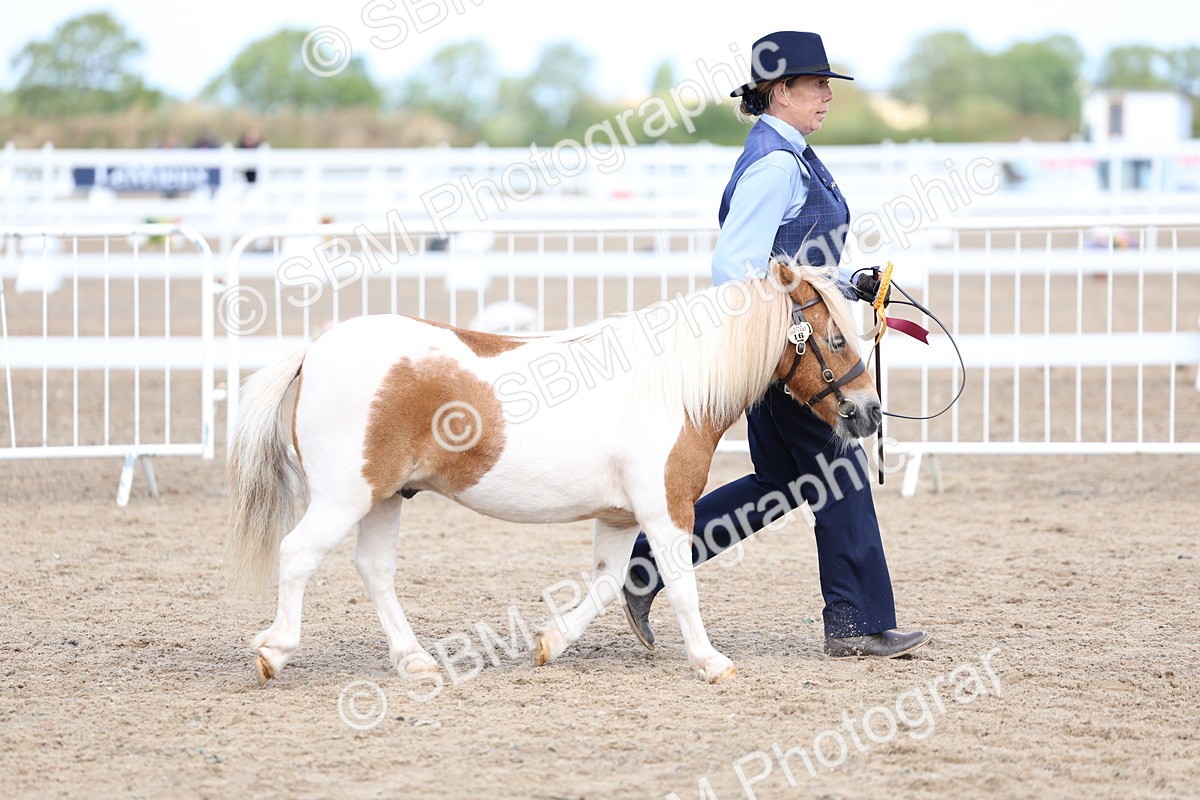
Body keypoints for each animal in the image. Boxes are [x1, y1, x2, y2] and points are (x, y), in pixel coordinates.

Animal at [224, 259, 881, 685]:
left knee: (374, 570)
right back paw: (274, 652)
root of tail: (314, 350)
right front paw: (711, 661)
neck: (673, 384)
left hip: (384, 497)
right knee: (297, 555)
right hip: (344, 497)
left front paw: (550, 643)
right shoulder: (666, 506)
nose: (869, 412)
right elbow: (680, 582)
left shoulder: (619, 518)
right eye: (835, 339)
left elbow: (609, 582)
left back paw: (416, 661)